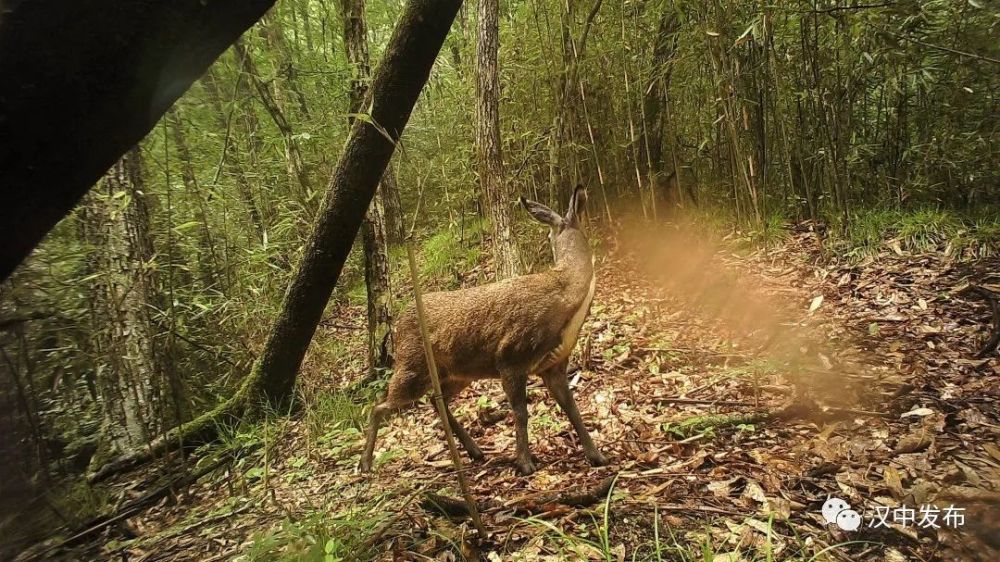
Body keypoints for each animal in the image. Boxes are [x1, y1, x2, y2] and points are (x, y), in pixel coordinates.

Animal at [360, 184, 608, 472]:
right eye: (549, 235)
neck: (566, 298)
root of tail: (397, 327)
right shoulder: (510, 357)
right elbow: (521, 413)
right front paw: (525, 463)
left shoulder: (554, 364)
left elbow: (572, 408)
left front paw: (597, 455)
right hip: (412, 367)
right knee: (379, 406)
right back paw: (365, 463)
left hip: (458, 373)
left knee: (434, 399)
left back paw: (475, 451)